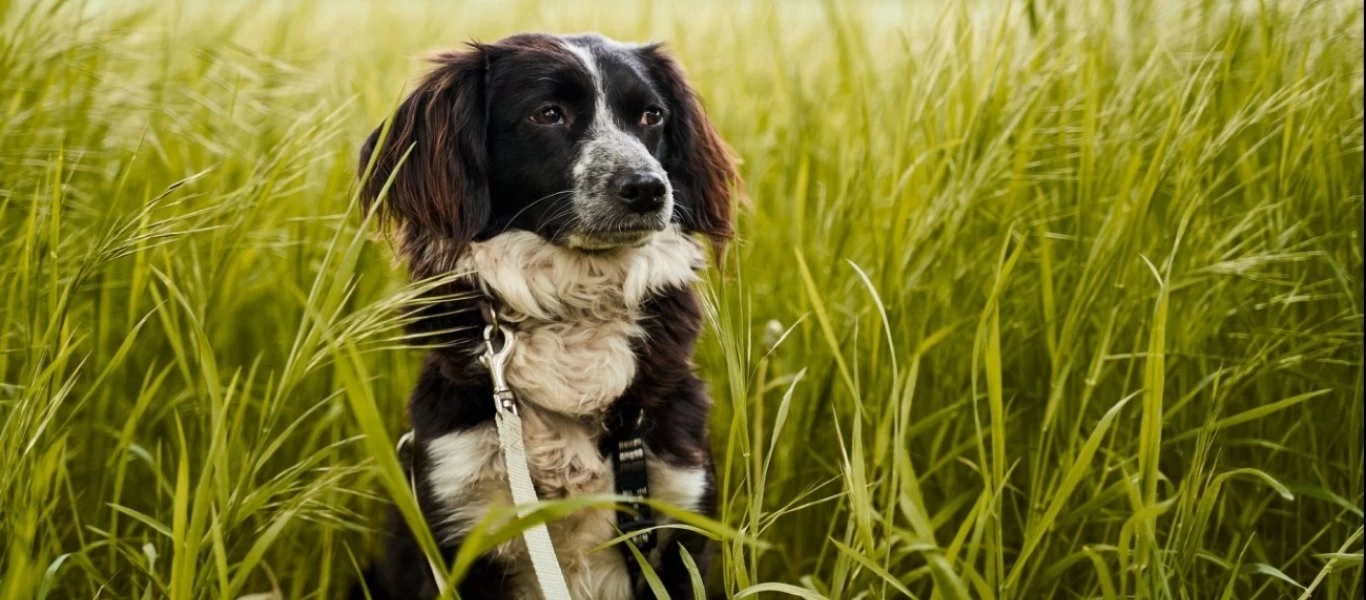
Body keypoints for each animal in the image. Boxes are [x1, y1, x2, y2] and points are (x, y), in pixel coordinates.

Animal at [349, 33, 737, 600]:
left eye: (652, 115)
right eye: (548, 114)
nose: (648, 188)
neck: (575, 306)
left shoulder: (677, 524)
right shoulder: (460, 526)